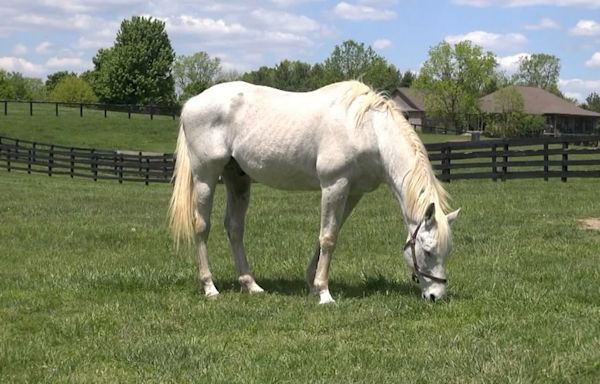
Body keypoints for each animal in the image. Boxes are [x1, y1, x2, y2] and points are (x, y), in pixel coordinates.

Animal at [169, 80, 460, 304]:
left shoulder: (353, 192)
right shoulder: (334, 184)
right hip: (205, 177)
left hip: (237, 179)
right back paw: (210, 287)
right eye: (427, 251)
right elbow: (328, 238)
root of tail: (191, 103)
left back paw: (251, 285)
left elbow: (328, 235)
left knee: (234, 228)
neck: (368, 130)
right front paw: (324, 293)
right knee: (201, 227)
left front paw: (311, 283)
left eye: (447, 251)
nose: (436, 296)